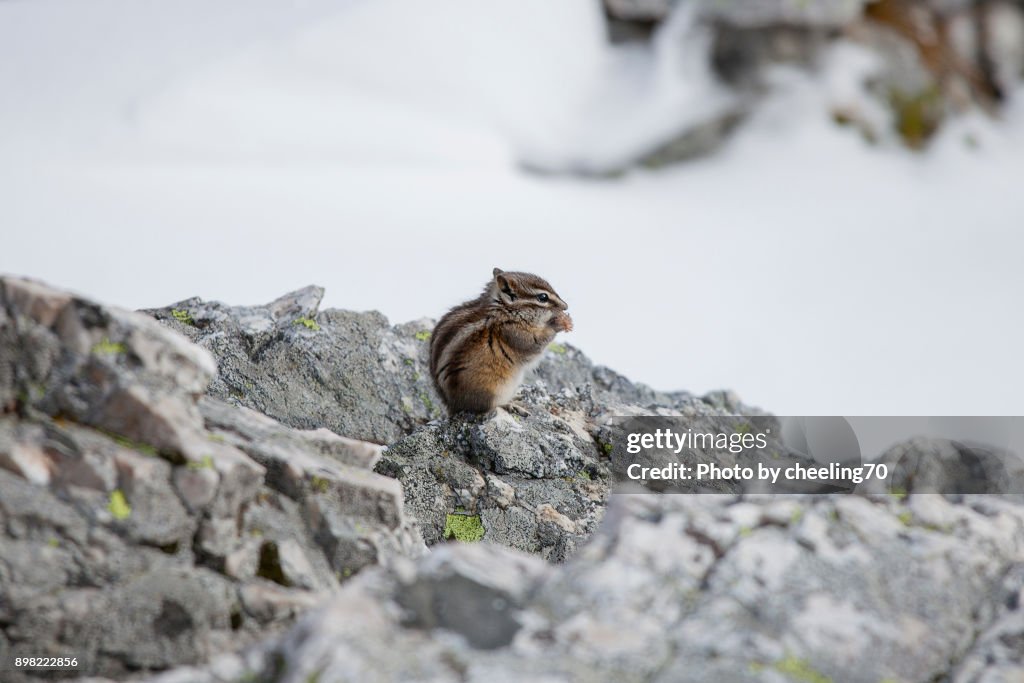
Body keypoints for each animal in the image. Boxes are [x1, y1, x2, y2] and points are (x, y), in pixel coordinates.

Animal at [429, 268, 573, 414]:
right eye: (543, 297)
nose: (566, 306)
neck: (504, 310)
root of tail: (452, 406)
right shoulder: (514, 334)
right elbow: (535, 344)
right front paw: (558, 323)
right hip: (490, 388)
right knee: (485, 407)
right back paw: (510, 405)